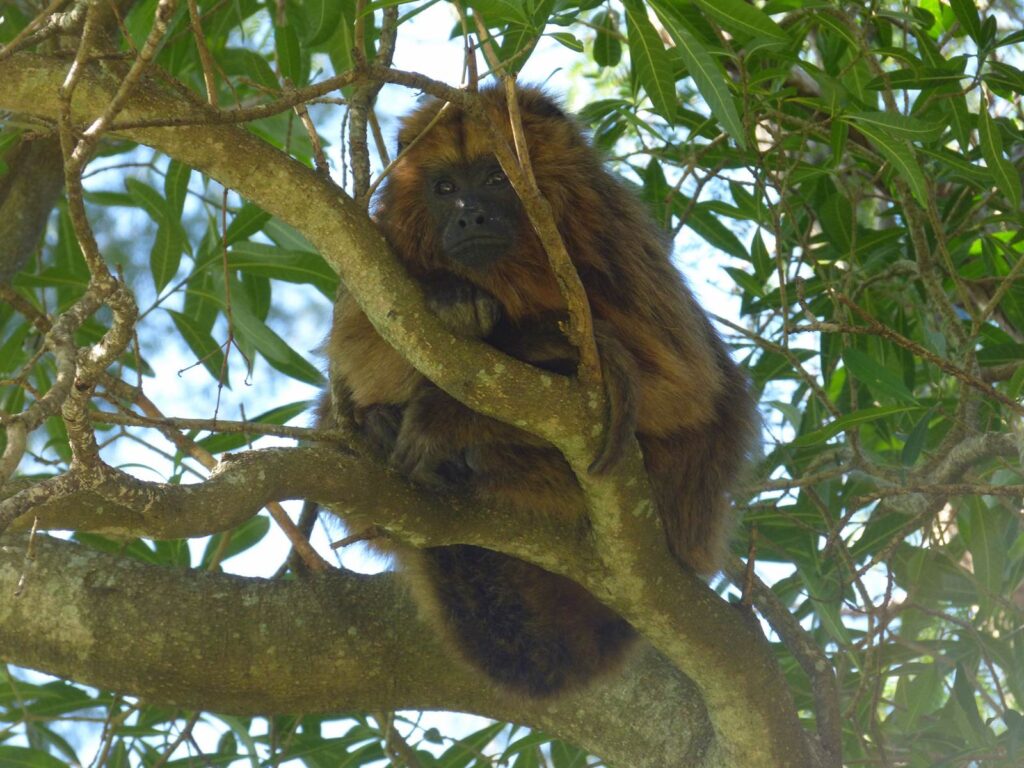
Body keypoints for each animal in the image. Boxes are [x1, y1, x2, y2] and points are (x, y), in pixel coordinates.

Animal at [323, 87, 757, 700]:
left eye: (496, 178)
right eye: (445, 188)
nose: (469, 214)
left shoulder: (613, 240)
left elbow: (679, 391)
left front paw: (445, 418)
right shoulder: (385, 247)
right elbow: (361, 344)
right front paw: (452, 303)